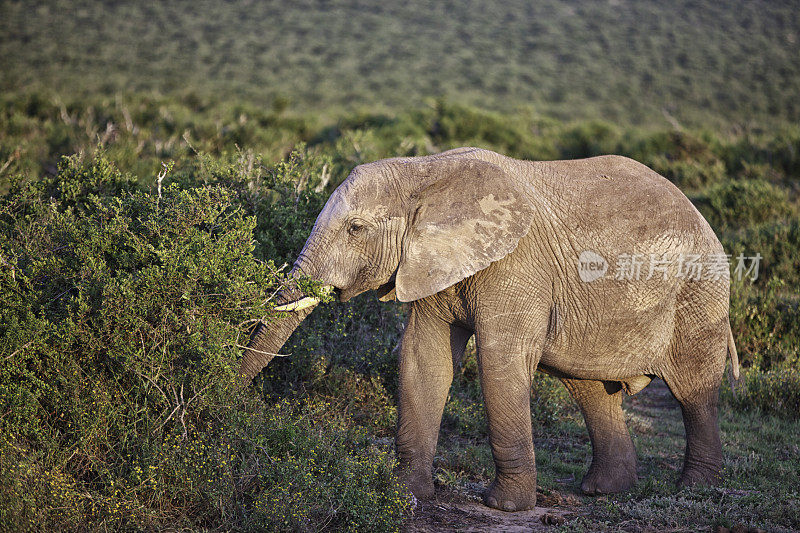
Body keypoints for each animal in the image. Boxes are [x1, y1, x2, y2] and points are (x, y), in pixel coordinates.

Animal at [241, 145, 740, 512]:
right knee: (589, 388)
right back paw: (604, 491)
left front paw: (504, 507)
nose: (232, 393)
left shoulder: (515, 264)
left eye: (356, 229)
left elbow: (500, 358)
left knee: (693, 391)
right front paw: (406, 494)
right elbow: (424, 358)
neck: (423, 173)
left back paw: (693, 490)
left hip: (700, 292)